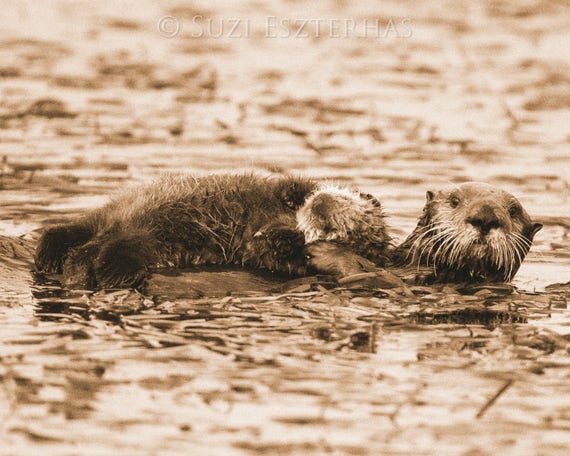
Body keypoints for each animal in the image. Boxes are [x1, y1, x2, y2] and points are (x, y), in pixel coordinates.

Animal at [35, 175, 390, 288]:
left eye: (334, 229)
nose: (321, 208)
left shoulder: (266, 255)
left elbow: (272, 251)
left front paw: (281, 238)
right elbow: (293, 183)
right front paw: (297, 194)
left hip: (146, 242)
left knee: (111, 250)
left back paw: (105, 271)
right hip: (111, 213)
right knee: (76, 229)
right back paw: (49, 254)